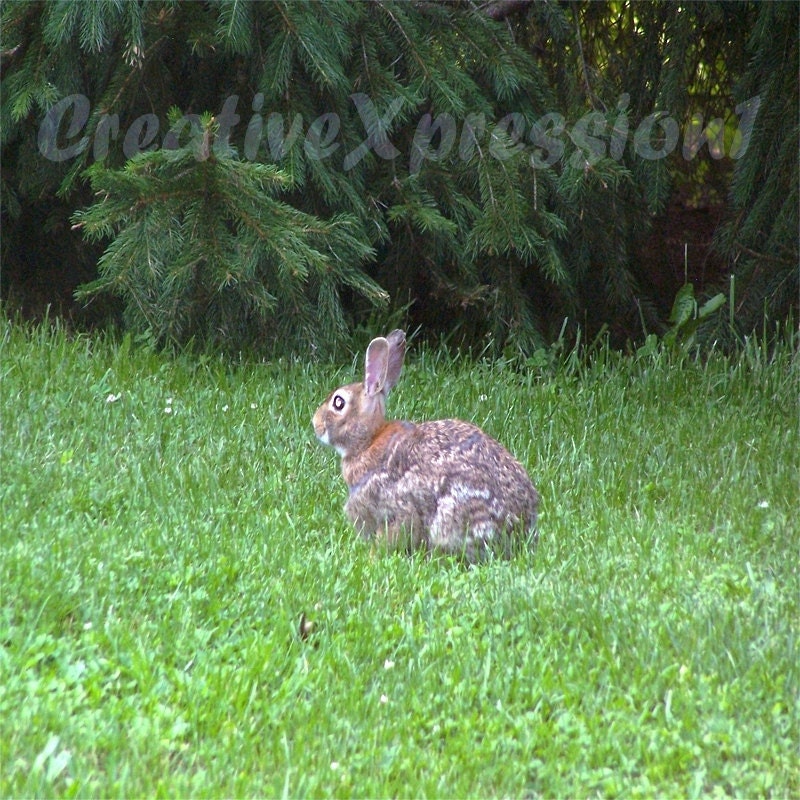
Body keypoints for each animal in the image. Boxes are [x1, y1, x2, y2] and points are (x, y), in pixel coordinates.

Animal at [312, 330, 540, 562]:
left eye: (338, 403)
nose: (315, 424)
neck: (368, 442)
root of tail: (518, 530)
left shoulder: (396, 509)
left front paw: (372, 557)